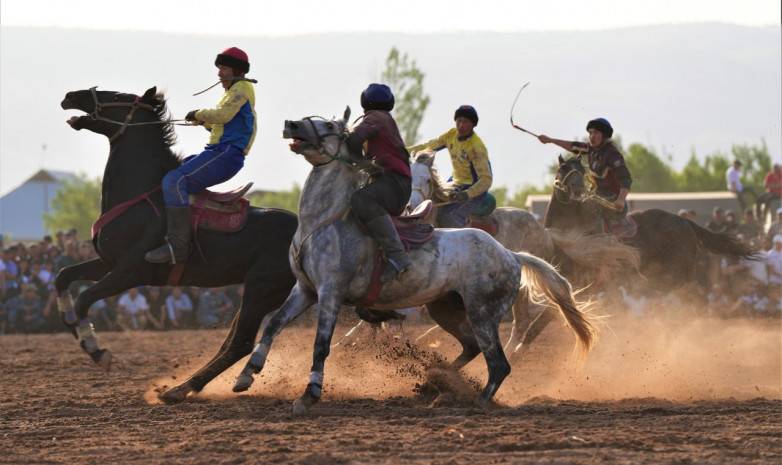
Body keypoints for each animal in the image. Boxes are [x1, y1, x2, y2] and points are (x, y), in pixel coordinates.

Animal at [60, 87, 298, 402]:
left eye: (117, 95)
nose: (70, 95)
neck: (139, 200)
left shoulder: (130, 272)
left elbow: (85, 299)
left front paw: (97, 351)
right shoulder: (107, 263)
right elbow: (63, 277)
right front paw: (67, 318)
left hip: (261, 289)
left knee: (240, 342)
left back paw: (182, 388)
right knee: (234, 341)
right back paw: (192, 385)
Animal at [233, 108, 600, 414]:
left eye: (331, 126)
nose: (291, 124)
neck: (325, 221)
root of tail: (510, 254)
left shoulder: (330, 293)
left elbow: (321, 344)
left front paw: (309, 394)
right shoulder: (305, 290)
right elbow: (273, 324)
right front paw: (247, 374)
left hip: (483, 313)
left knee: (500, 362)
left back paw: (475, 401)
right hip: (446, 309)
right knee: (472, 348)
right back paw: (435, 383)